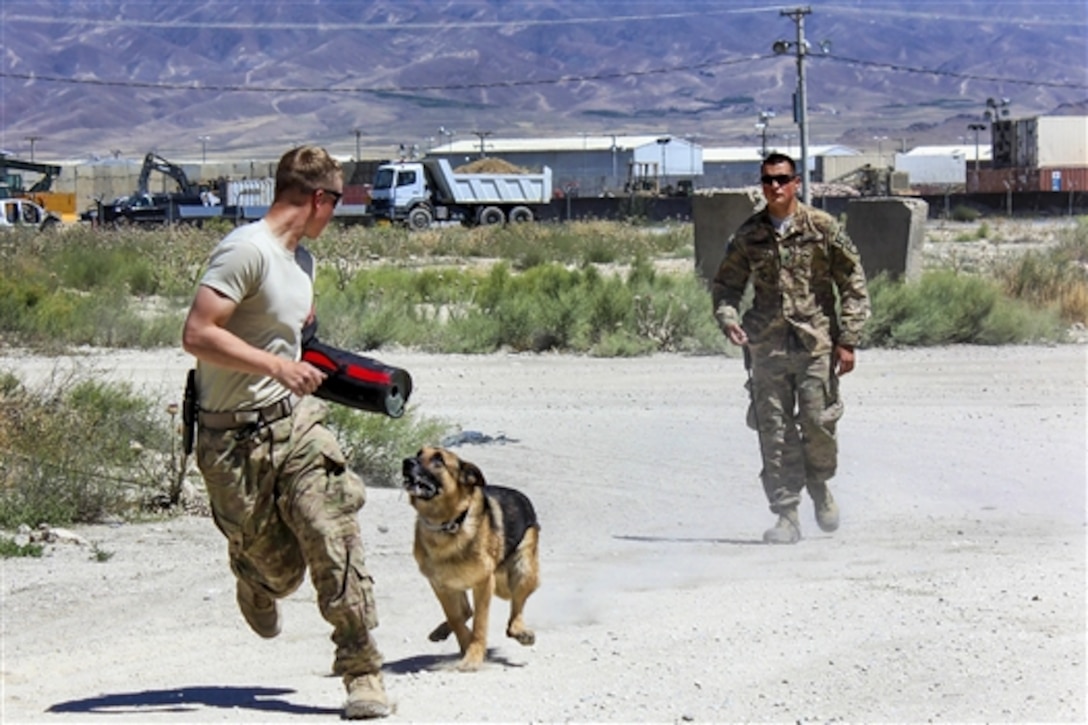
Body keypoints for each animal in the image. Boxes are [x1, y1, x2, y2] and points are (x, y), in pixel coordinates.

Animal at [400, 446, 539, 670]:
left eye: (439, 460)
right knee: (466, 611)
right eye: (419, 453)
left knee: (514, 613)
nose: (406, 462)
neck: (449, 524)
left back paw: (520, 631)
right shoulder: (441, 585)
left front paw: (474, 656)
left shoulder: (483, 584)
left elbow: (479, 624)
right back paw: (442, 631)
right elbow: (456, 618)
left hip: (524, 569)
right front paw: (467, 646)